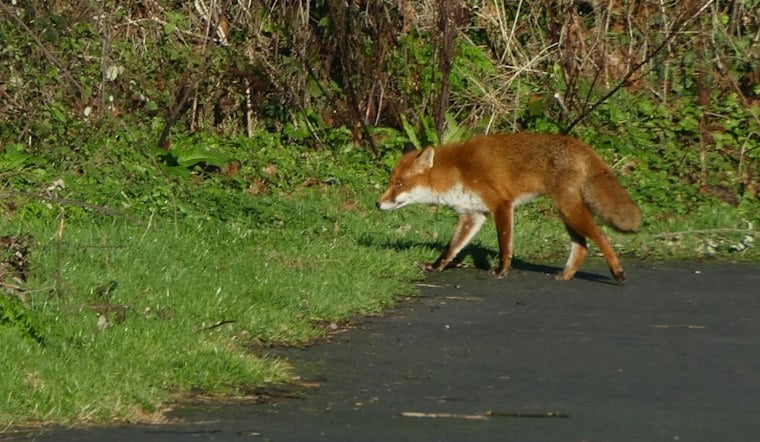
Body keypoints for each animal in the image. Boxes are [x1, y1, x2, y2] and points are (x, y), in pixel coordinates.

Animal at [376, 133, 641, 283]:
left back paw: (617, 272)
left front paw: (502, 270)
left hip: (569, 210)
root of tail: (580, 144)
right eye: (391, 182)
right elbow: (450, 248)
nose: (378, 204)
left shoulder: (501, 204)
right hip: (566, 211)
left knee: (602, 237)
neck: (457, 171)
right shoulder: (473, 215)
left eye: (399, 184)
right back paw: (566, 275)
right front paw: (434, 267)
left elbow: (505, 244)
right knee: (582, 245)